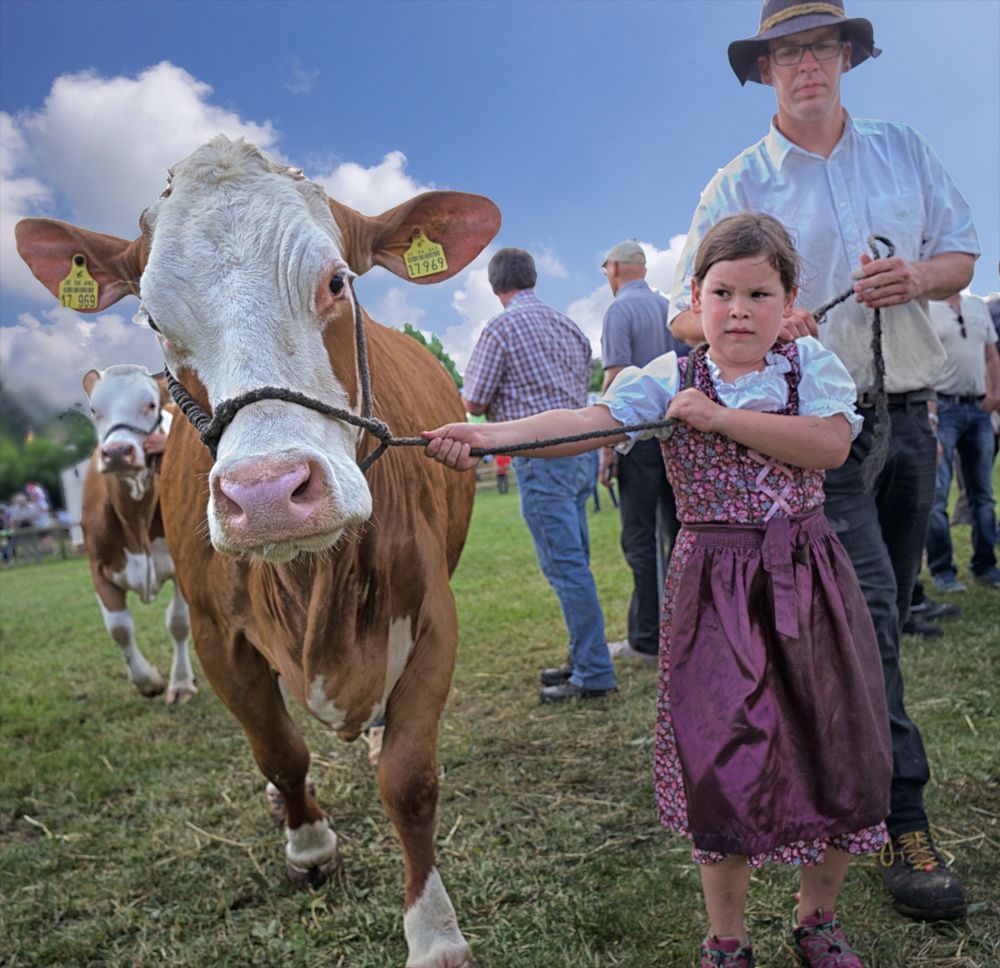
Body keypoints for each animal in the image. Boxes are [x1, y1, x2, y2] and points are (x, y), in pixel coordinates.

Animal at [80, 364, 197, 704]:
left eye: (150, 405)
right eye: (95, 409)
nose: (118, 452)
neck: (136, 522)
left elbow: (179, 623)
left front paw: (180, 683)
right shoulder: (98, 567)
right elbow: (119, 628)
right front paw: (147, 682)